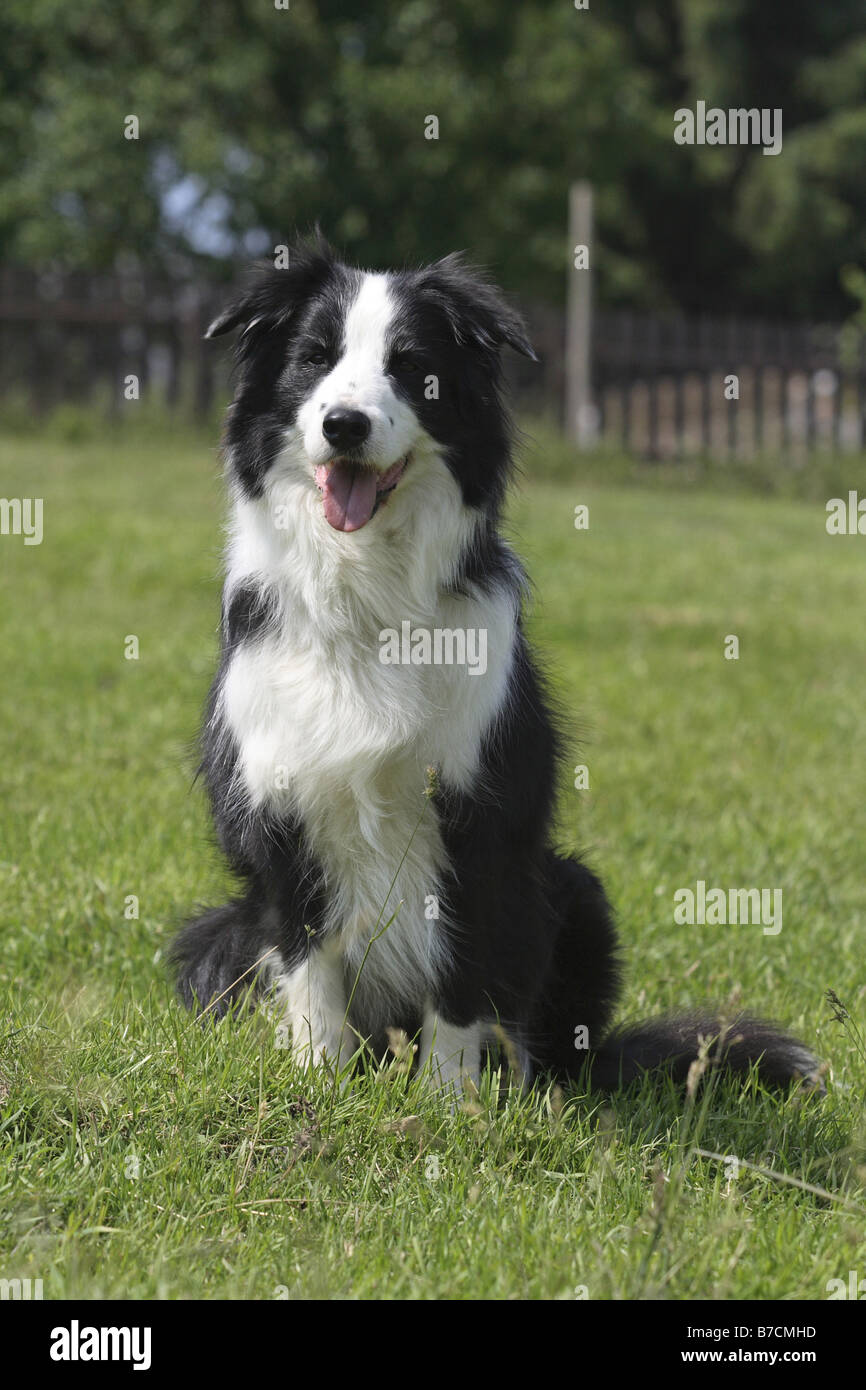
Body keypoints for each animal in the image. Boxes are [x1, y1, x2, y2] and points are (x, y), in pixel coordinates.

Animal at [173, 233, 822, 1089]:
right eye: (313, 358)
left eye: (414, 368)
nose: (343, 425)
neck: (369, 594)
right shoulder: (280, 812)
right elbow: (312, 971)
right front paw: (318, 1079)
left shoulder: (481, 815)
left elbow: (463, 972)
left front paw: (454, 1099)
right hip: (213, 930)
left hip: (576, 890)